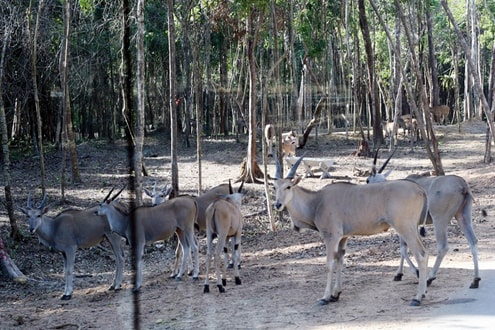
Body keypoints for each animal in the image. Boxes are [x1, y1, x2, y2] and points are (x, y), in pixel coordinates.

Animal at [274, 155, 428, 306]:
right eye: (275, 187)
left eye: (288, 186)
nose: (277, 205)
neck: (317, 201)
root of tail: (420, 189)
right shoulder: (343, 238)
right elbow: (340, 260)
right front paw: (336, 294)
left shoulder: (332, 237)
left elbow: (330, 264)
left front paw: (325, 297)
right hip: (412, 228)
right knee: (424, 252)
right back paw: (423, 291)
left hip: (405, 228)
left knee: (421, 254)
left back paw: (417, 297)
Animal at [368, 150, 480, 288]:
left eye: (367, 180)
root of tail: (462, 185)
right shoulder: (413, 226)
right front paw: (400, 274)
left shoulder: (404, 225)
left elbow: (403, 249)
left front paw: (411, 273)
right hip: (463, 216)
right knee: (473, 241)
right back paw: (475, 280)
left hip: (440, 220)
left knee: (443, 247)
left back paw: (430, 278)